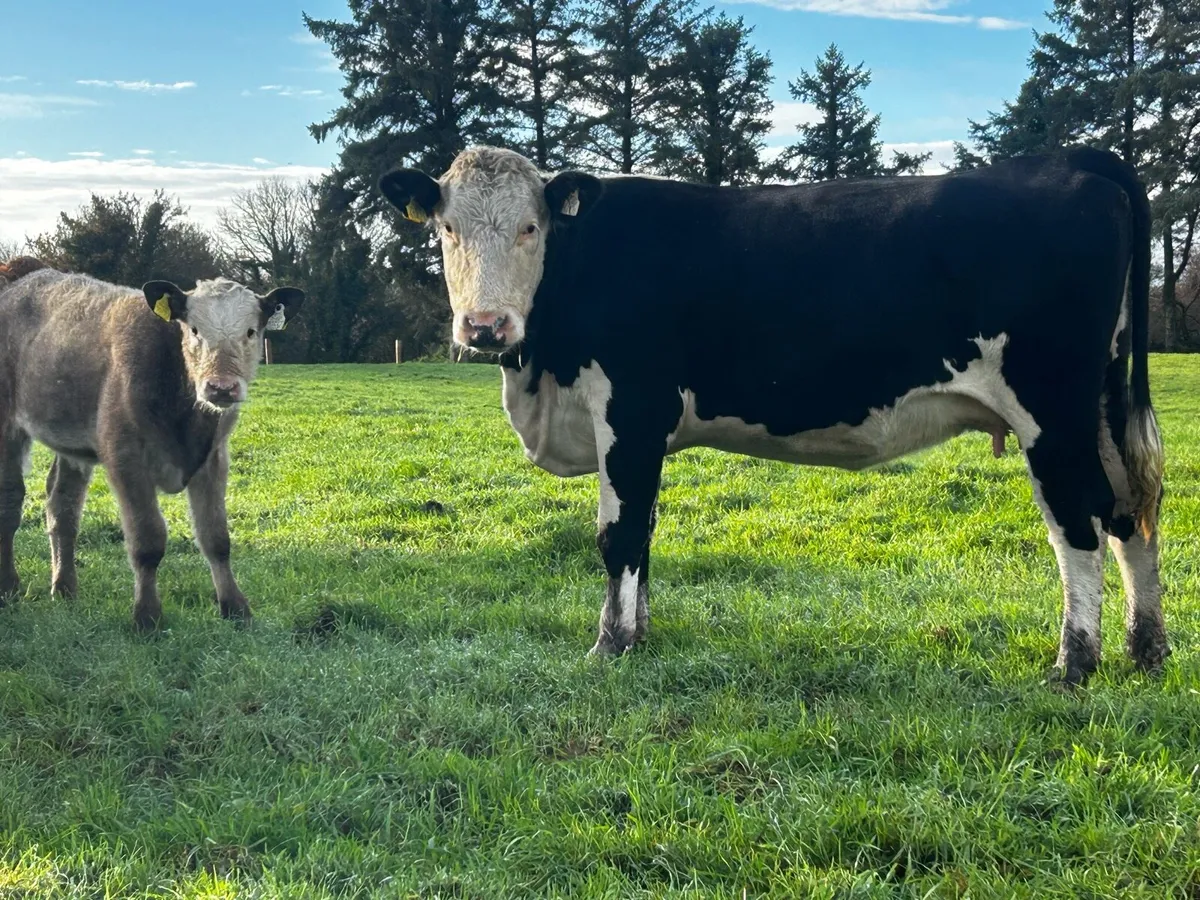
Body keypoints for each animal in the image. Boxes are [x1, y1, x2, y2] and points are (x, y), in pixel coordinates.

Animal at [0, 267, 304, 629]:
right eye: (194, 329)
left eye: (251, 331)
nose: (221, 387)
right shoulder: (125, 457)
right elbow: (148, 540)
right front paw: (147, 617)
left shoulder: (213, 457)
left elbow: (216, 537)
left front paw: (235, 608)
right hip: (6, 426)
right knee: (10, 500)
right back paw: (9, 587)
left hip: (71, 443)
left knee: (63, 506)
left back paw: (64, 588)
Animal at [380, 145, 1165, 686]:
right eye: (447, 229)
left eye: (530, 227)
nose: (485, 326)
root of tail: (1071, 160)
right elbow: (643, 533)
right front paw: (639, 634)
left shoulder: (631, 409)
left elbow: (618, 534)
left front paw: (611, 645)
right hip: (1099, 403)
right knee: (1130, 513)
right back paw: (1146, 648)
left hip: (1051, 409)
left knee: (1079, 524)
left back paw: (1075, 663)